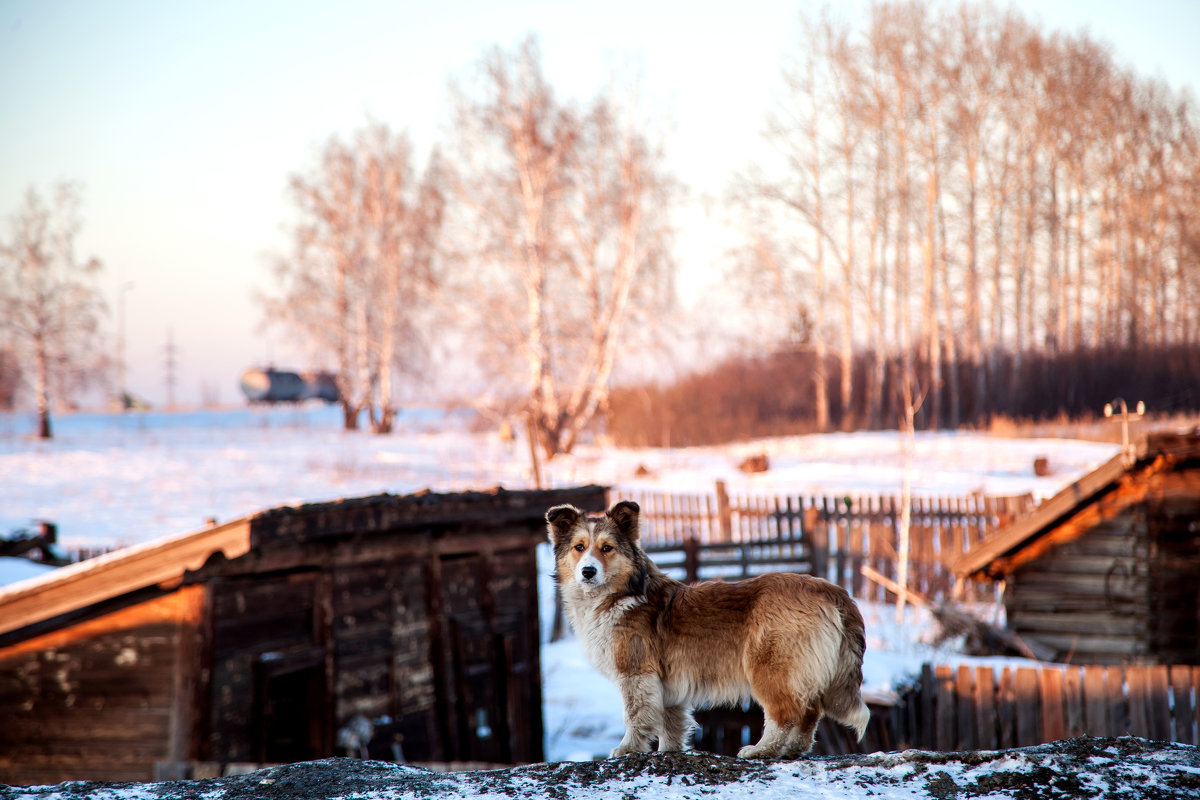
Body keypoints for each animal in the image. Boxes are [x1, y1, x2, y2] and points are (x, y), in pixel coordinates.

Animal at [547, 501, 873, 758]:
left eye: (607, 548)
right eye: (579, 548)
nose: (588, 572)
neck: (620, 594)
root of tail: (833, 591)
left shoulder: (636, 672)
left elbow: (636, 715)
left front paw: (628, 749)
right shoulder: (667, 687)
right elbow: (671, 724)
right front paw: (669, 752)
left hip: (769, 666)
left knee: (785, 713)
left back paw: (761, 750)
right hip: (801, 671)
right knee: (810, 711)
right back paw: (793, 749)